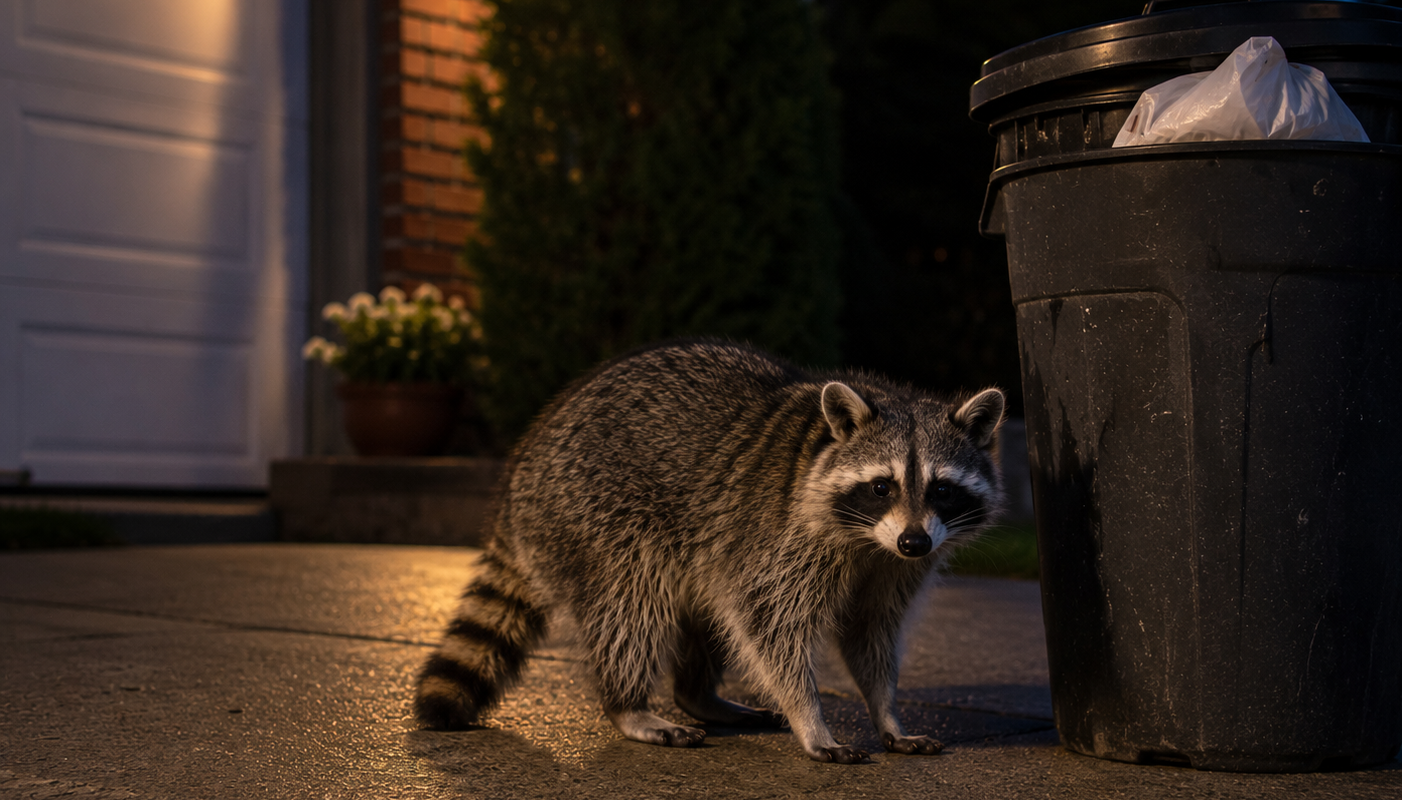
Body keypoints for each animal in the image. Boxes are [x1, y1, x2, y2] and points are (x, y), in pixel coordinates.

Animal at [414, 339, 1005, 763]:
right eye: (882, 486)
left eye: (942, 490)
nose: (914, 541)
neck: (868, 540)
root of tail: (519, 474)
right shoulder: (782, 538)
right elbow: (770, 623)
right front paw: (810, 717)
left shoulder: (895, 566)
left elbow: (870, 632)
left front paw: (887, 712)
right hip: (595, 511)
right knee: (633, 604)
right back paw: (628, 705)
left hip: (693, 543)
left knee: (707, 611)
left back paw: (698, 694)